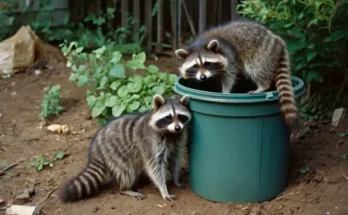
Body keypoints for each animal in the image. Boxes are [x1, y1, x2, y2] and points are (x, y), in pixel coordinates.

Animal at [58, 94, 192, 202]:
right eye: (168, 117)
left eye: (181, 116)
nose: (178, 128)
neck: (171, 133)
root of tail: (95, 149)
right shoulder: (150, 143)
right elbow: (154, 167)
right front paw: (163, 189)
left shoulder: (179, 139)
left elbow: (175, 160)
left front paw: (175, 179)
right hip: (114, 154)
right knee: (126, 171)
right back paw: (124, 188)